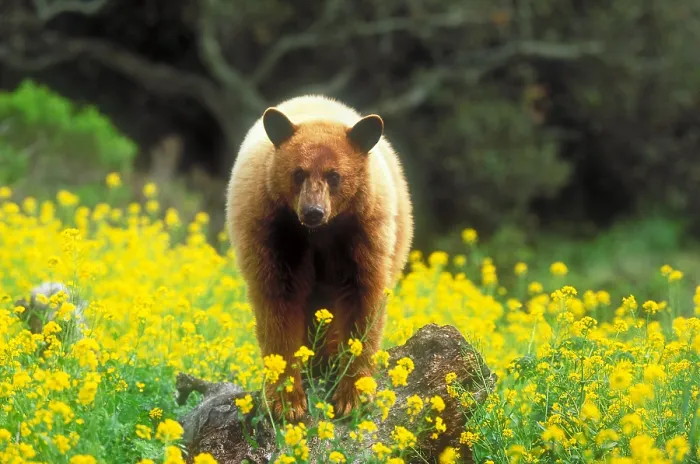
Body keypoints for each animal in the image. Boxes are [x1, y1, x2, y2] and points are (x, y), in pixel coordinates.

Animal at [225, 94, 413, 420]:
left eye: (334, 175)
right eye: (298, 173)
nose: (313, 211)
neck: (318, 233)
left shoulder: (362, 233)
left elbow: (363, 299)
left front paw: (352, 395)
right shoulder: (273, 233)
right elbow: (278, 305)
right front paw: (288, 401)